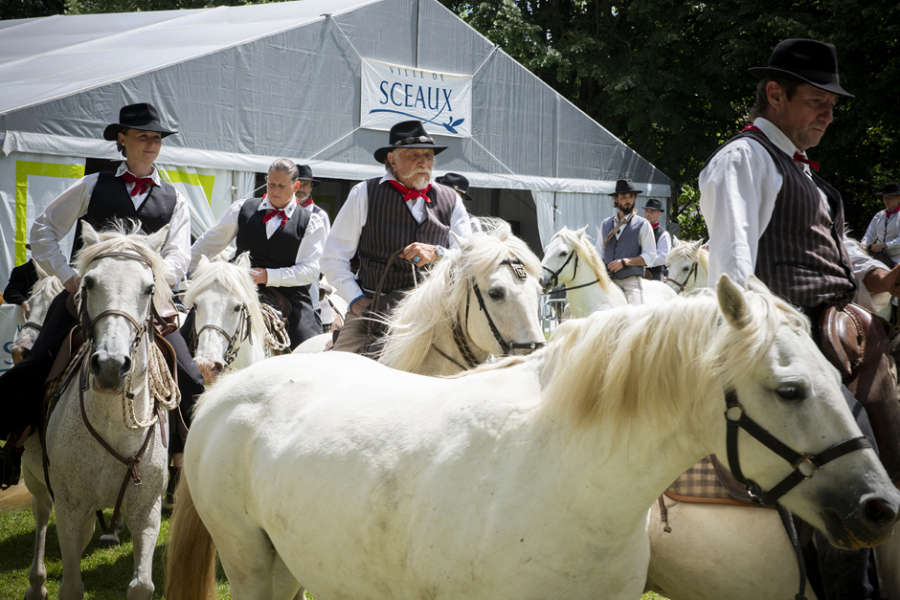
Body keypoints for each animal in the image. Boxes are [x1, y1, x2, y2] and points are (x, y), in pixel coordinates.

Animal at [20, 224, 175, 600]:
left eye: (149, 288)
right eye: (88, 283)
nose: (110, 367)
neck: (111, 425)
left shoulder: (146, 511)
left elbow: (142, 584)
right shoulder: (71, 509)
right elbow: (71, 585)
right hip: (36, 480)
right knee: (41, 515)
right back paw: (37, 583)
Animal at [167, 276, 900, 600]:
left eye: (837, 377)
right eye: (790, 389)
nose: (879, 508)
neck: (565, 481)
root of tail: (225, 394)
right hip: (250, 565)